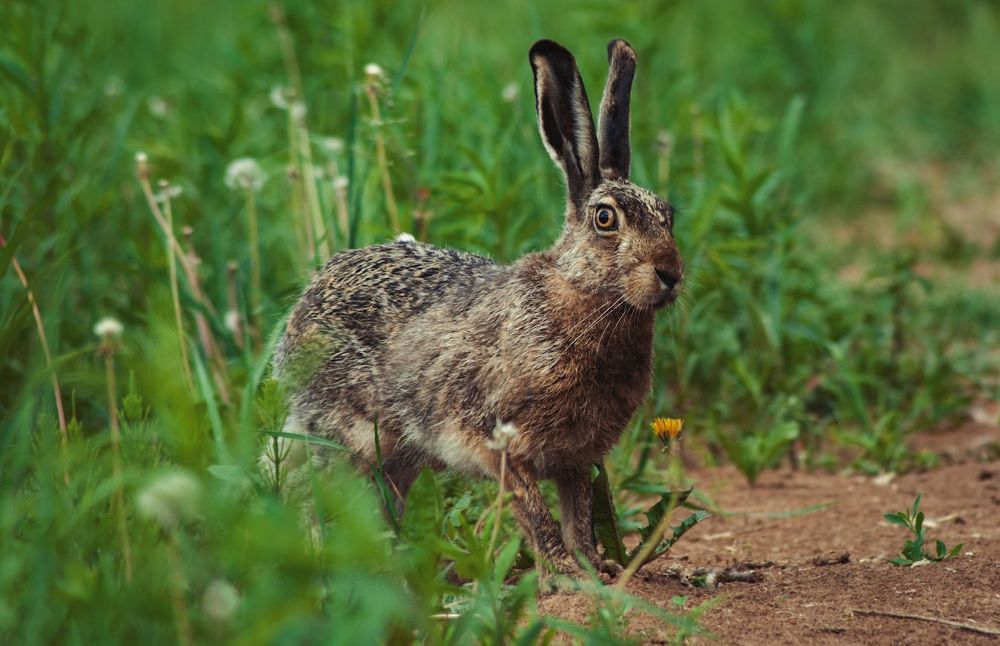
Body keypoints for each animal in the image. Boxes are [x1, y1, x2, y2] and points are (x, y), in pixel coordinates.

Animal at [273, 38, 683, 579]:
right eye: (604, 219)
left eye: (668, 215)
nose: (670, 273)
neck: (582, 296)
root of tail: (303, 308)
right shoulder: (497, 440)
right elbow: (536, 512)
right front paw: (565, 573)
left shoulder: (577, 458)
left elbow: (579, 515)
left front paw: (597, 568)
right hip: (350, 434)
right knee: (306, 489)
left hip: (401, 454)